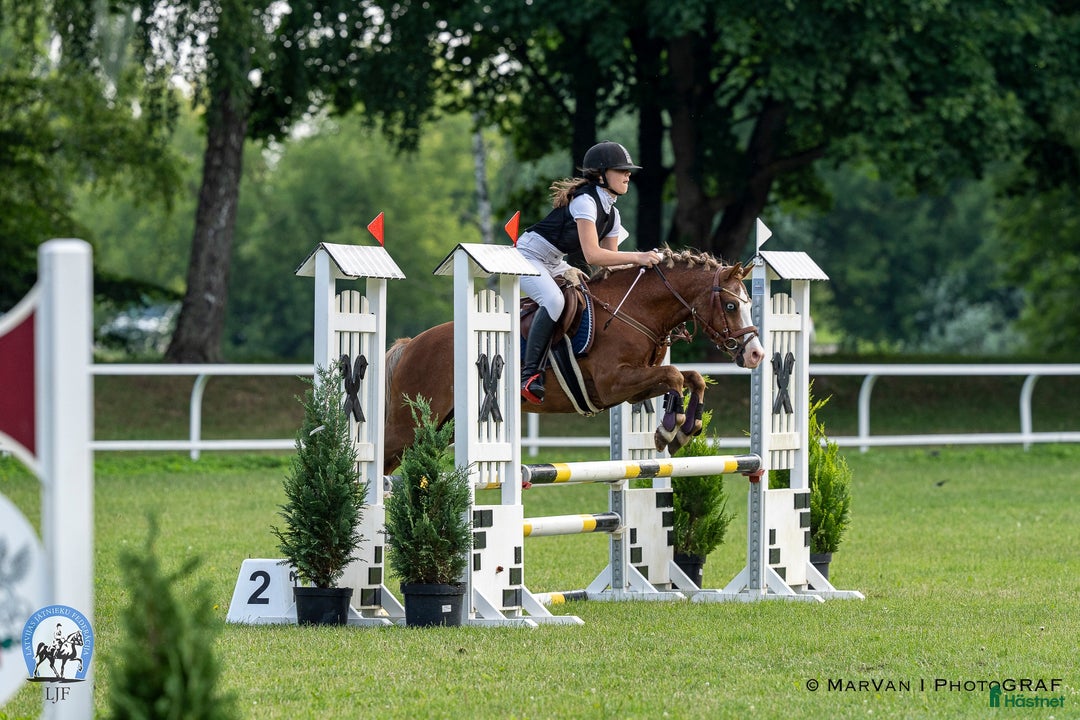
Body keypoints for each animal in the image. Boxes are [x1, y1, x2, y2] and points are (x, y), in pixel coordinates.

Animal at [382, 248, 765, 475]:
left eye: (747, 302)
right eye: (731, 305)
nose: (756, 354)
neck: (633, 311)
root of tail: (411, 345)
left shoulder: (632, 387)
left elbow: (691, 377)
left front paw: (686, 428)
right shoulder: (614, 383)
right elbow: (673, 375)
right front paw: (669, 429)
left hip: (443, 426)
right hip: (411, 424)